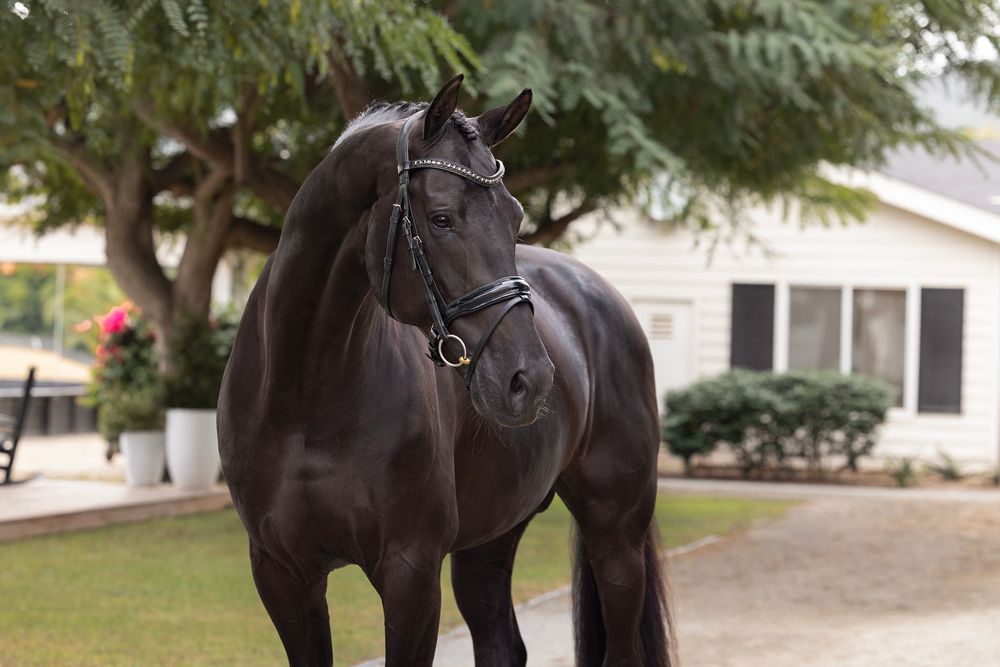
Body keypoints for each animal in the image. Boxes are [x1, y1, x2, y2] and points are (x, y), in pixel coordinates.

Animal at [218, 74, 673, 667]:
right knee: (501, 643)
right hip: (490, 538)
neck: (307, 396)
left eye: (515, 216)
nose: (529, 380)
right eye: (440, 218)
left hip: (617, 536)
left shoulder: (410, 570)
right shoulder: (282, 573)